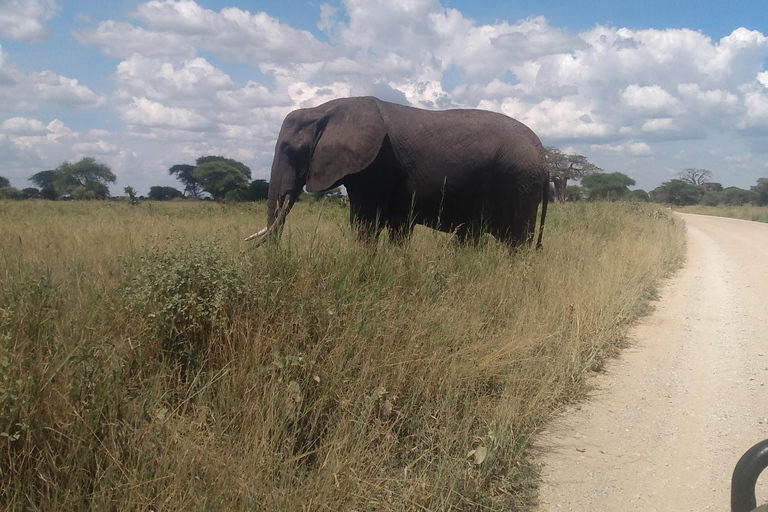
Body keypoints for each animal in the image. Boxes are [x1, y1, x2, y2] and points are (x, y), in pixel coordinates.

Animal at [246, 96, 544, 250]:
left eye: (290, 150)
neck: (323, 110)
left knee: (518, 243)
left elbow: (364, 225)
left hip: (520, 184)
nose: (247, 249)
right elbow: (396, 229)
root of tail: (542, 152)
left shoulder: (377, 166)